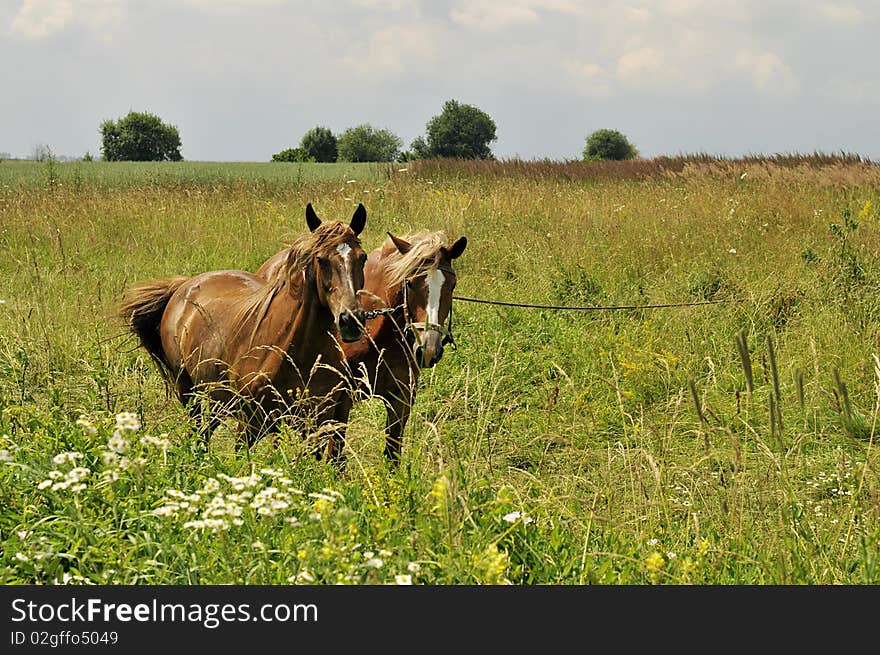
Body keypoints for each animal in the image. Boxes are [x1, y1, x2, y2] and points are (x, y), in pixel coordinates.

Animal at [119, 202, 368, 464]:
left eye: (362, 258)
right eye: (321, 260)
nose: (351, 321)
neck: (296, 352)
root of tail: (184, 287)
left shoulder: (322, 419)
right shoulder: (251, 422)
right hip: (188, 391)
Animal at [258, 228, 468, 464]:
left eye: (452, 285)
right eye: (410, 283)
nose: (429, 349)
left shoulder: (401, 398)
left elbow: (392, 454)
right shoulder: (341, 400)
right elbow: (336, 454)